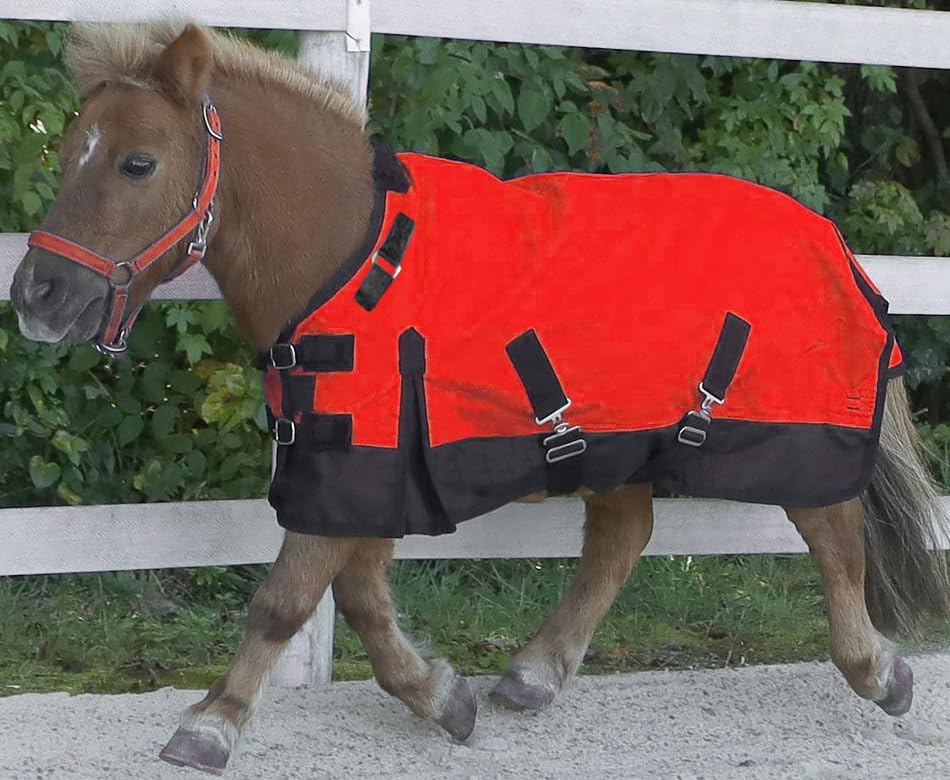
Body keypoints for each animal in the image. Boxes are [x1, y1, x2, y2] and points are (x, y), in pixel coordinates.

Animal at [9, 22, 950, 776]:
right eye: (68, 149)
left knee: (833, 536)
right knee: (622, 540)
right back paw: (534, 674)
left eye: (138, 162)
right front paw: (440, 695)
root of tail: (828, 236)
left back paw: (879, 672)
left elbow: (286, 598)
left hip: (797, 432)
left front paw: (212, 724)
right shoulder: (366, 467)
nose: (36, 295)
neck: (354, 258)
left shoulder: (356, 461)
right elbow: (359, 600)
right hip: (619, 441)